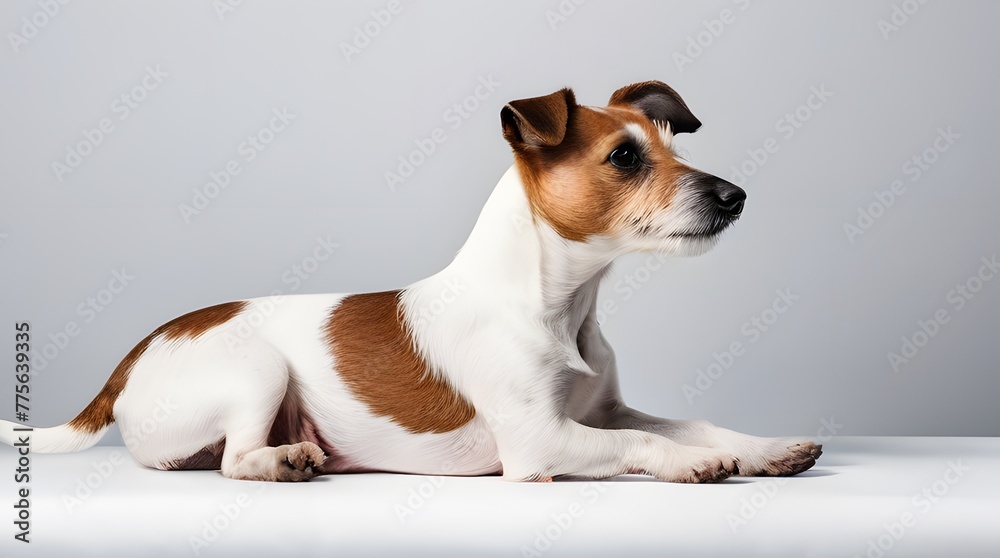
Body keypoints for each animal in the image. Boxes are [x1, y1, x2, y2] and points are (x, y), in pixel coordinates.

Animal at [1, 81, 820, 484]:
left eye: (673, 147)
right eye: (624, 158)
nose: (736, 196)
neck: (558, 306)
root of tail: (131, 358)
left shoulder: (607, 411)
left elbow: (692, 423)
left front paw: (762, 448)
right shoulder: (541, 443)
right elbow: (646, 445)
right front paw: (693, 463)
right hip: (256, 368)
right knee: (234, 461)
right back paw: (283, 462)